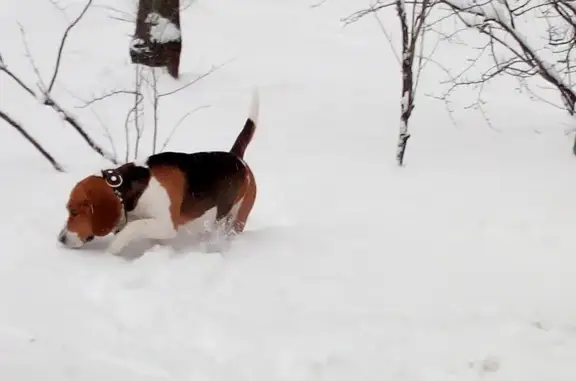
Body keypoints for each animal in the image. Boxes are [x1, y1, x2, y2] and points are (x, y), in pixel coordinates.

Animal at [56, 90, 258, 254]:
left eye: (74, 211)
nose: (61, 239)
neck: (132, 188)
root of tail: (236, 156)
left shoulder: (166, 225)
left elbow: (134, 227)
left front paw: (114, 249)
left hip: (237, 219)